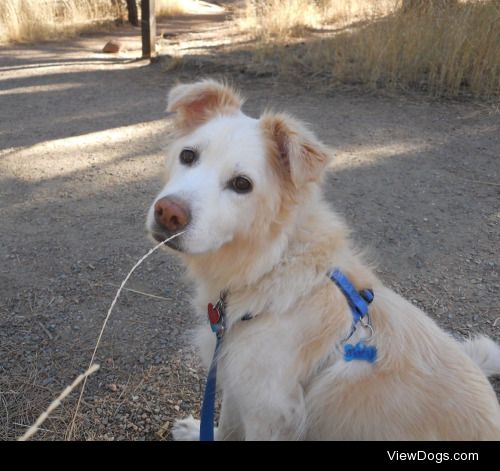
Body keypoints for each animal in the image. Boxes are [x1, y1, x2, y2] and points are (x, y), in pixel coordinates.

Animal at [146, 79, 500, 440]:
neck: (273, 266)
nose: (168, 213)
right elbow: (228, 426)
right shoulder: (235, 382)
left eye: (242, 184)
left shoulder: (267, 412)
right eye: (188, 155)